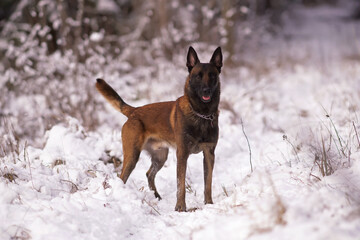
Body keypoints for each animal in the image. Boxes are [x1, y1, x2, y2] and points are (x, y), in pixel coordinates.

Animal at [95, 46, 224, 211]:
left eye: (212, 76)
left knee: (149, 174)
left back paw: (157, 196)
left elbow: (208, 183)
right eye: (198, 76)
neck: (201, 114)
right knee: (122, 177)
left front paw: (209, 204)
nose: (206, 90)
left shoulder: (209, 154)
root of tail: (134, 111)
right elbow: (181, 185)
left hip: (160, 157)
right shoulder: (182, 154)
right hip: (132, 156)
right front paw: (180, 208)